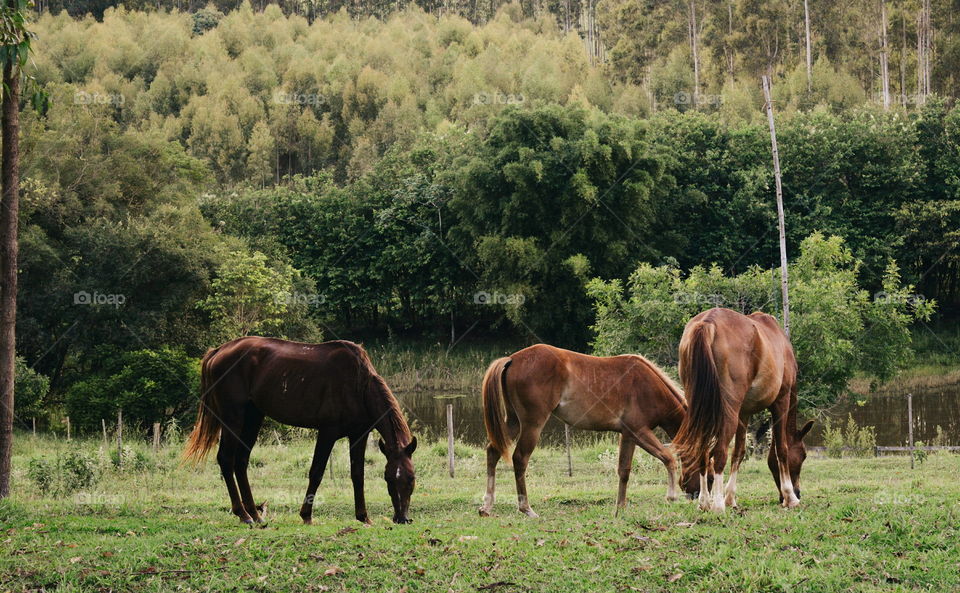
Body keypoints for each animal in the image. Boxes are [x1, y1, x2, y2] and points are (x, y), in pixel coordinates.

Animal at [183, 337, 417, 525]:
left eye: (412, 478)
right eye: (389, 479)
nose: (402, 518)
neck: (359, 384)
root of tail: (218, 351)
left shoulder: (358, 435)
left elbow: (357, 474)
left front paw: (363, 517)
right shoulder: (327, 432)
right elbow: (316, 472)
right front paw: (306, 515)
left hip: (253, 417)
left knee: (240, 461)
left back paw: (255, 515)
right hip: (233, 418)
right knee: (226, 459)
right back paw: (243, 514)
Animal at [478, 344, 689, 518]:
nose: (693, 494)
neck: (647, 386)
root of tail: (512, 359)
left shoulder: (628, 436)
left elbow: (624, 471)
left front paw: (620, 508)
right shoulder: (639, 431)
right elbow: (668, 458)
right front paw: (671, 496)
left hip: (514, 422)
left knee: (493, 451)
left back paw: (487, 506)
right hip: (532, 425)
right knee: (520, 459)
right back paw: (526, 508)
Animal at [673, 308, 813, 513]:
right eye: (803, 456)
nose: (798, 492)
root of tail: (708, 322)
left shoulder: (743, 413)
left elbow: (738, 452)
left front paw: (730, 498)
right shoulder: (781, 402)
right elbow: (782, 449)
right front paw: (790, 497)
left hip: (702, 412)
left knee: (703, 453)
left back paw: (704, 502)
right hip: (728, 412)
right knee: (720, 453)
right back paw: (717, 505)